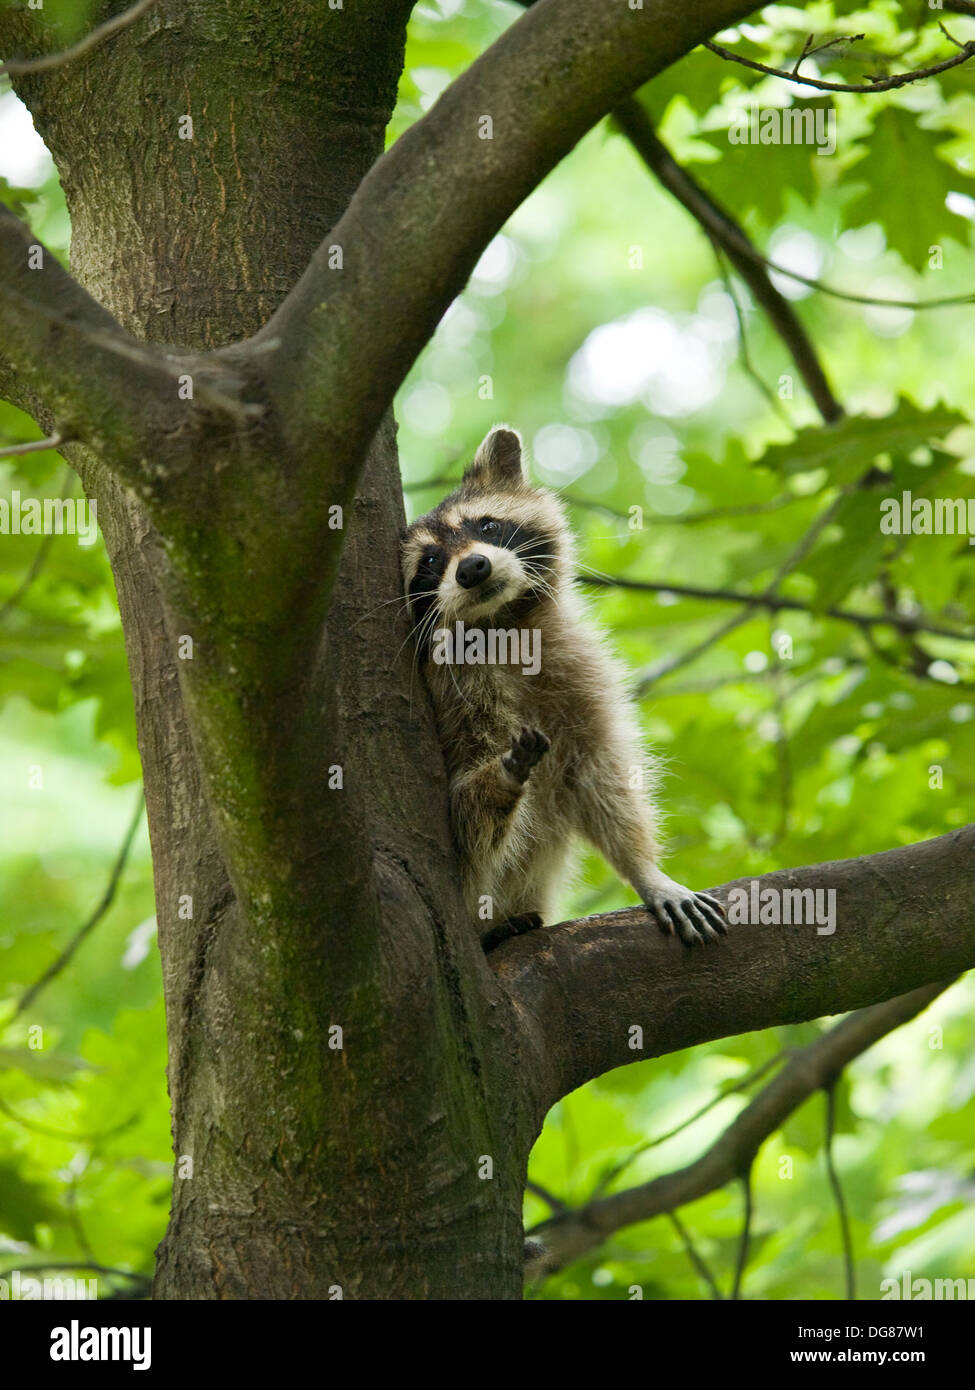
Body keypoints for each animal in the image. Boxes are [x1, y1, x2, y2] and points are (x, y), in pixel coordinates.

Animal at [401, 425, 726, 952]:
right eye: (430, 561)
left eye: (487, 526)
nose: (472, 568)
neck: (503, 625)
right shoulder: (455, 701)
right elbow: (468, 817)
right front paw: (502, 777)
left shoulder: (579, 676)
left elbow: (603, 777)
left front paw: (645, 871)